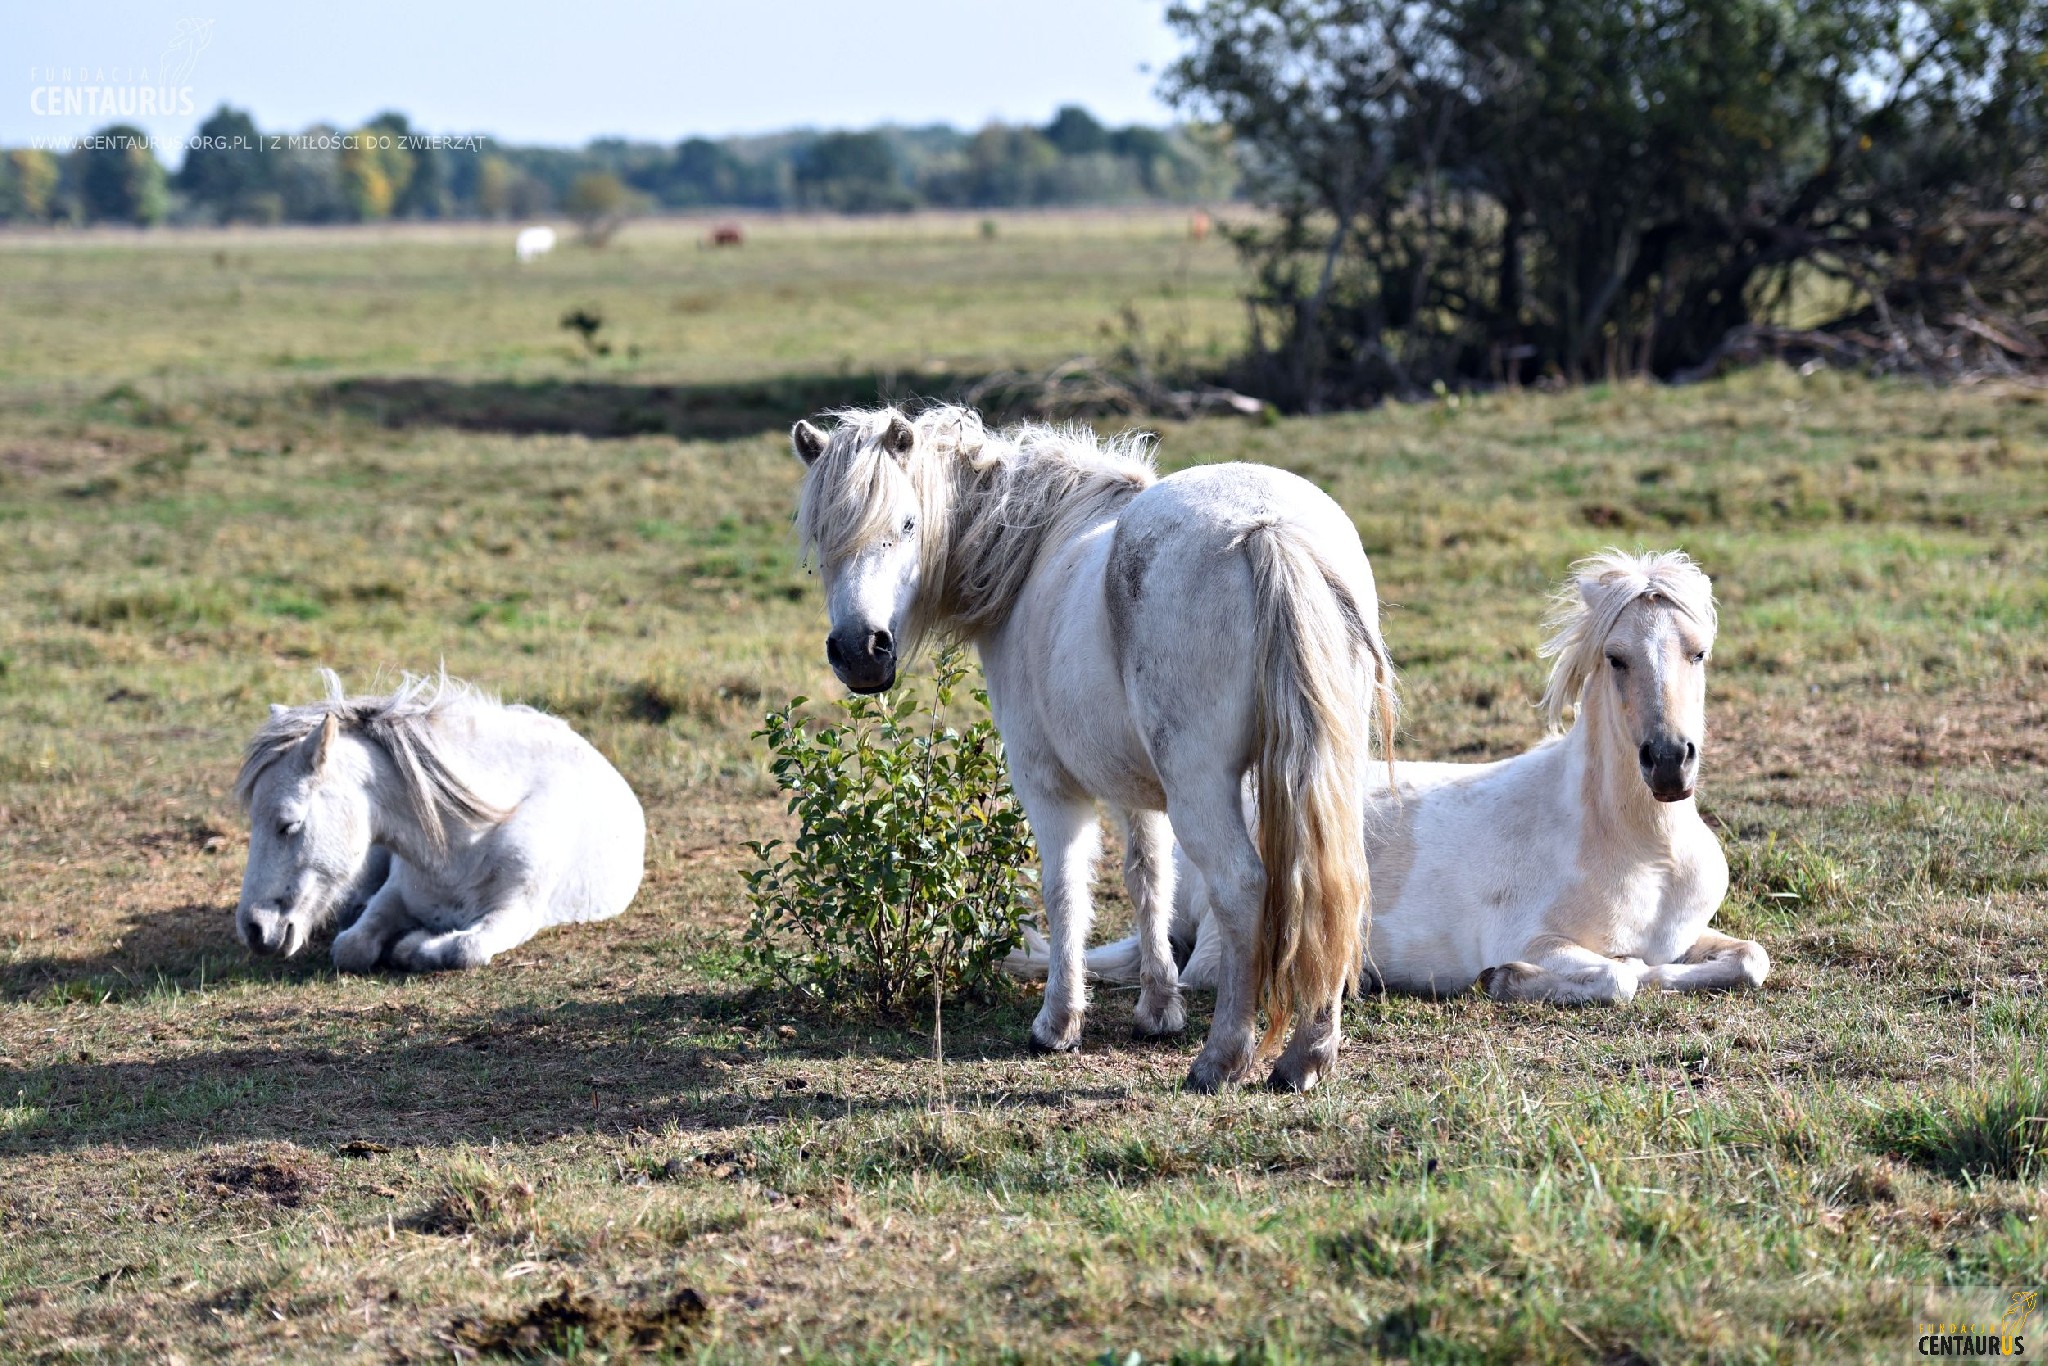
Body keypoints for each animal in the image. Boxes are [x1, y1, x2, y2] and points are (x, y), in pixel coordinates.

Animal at [234, 671, 643, 970]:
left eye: (289, 824)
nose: (254, 930)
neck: (466, 846)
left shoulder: (516, 915)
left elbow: (464, 949)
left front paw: (413, 943)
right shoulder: (393, 894)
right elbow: (352, 947)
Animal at [790, 403, 1400, 1089]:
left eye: (907, 522)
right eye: (821, 536)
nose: (859, 651)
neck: (1030, 554)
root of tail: (1268, 528)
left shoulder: (1049, 786)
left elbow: (1065, 890)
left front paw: (1058, 1024)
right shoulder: (1138, 790)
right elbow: (1149, 879)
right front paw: (1158, 1010)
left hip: (1201, 788)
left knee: (1244, 888)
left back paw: (1221, 1060)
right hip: (1323, 776)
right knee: (1331, 883)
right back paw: (1306, 1057)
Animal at [1015, 548, 1769, 1011]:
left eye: (1698, 653)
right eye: (1616, 657)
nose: (1669, 761)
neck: (1642, 850)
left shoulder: (1689, 932)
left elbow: (1746, 959)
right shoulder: (1539, 937)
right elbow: (1618, 975)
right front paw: (1503, 980)